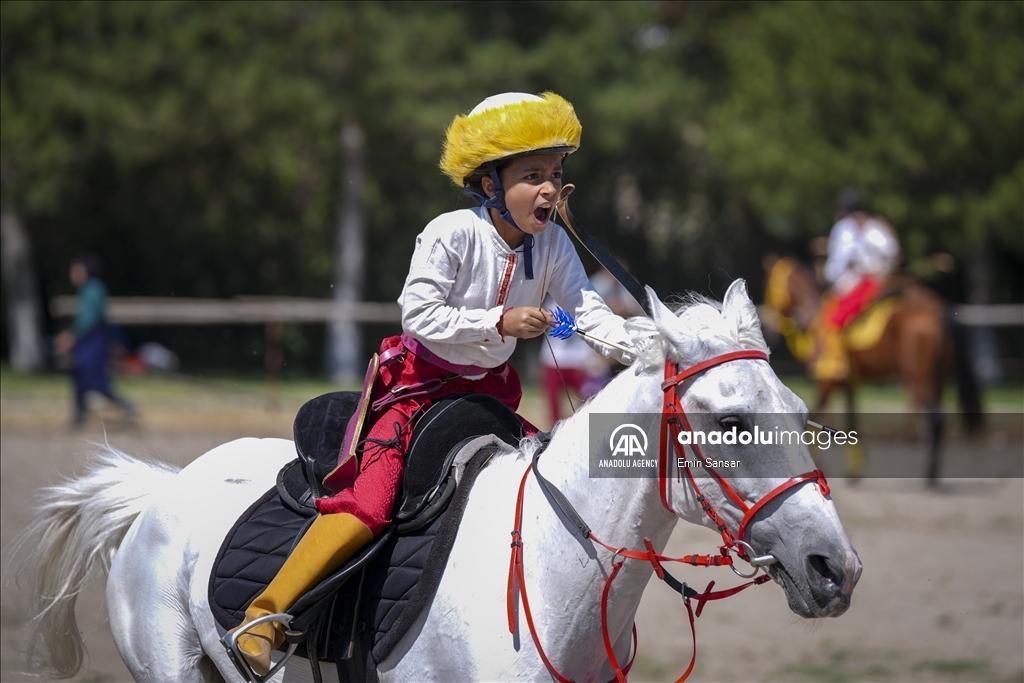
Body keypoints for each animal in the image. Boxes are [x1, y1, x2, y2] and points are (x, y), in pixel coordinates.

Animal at [765, 255, 978, 485]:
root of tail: (937, 311)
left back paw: (929, 475)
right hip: (938, 378)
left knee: (935, 419)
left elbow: (816, 412)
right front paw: (854, 470)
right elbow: (852, 420)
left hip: (919, 377)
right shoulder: (849, 382)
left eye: (770, 284)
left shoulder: (827, 381)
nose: (770, 327)